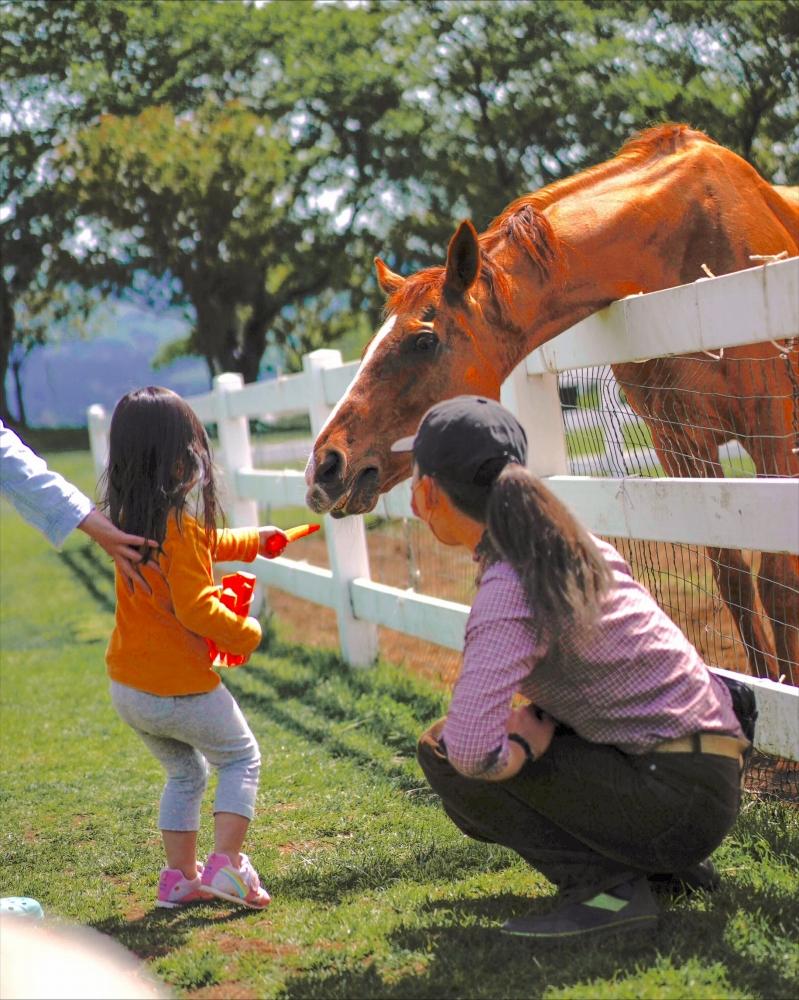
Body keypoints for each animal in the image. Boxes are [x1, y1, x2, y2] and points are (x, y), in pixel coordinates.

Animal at [306, 125, 799, 680]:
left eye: (424, 341)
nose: (326, 464)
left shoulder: (770, 425)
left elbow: (780, 581)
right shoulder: (680, 442)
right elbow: (734, 579)